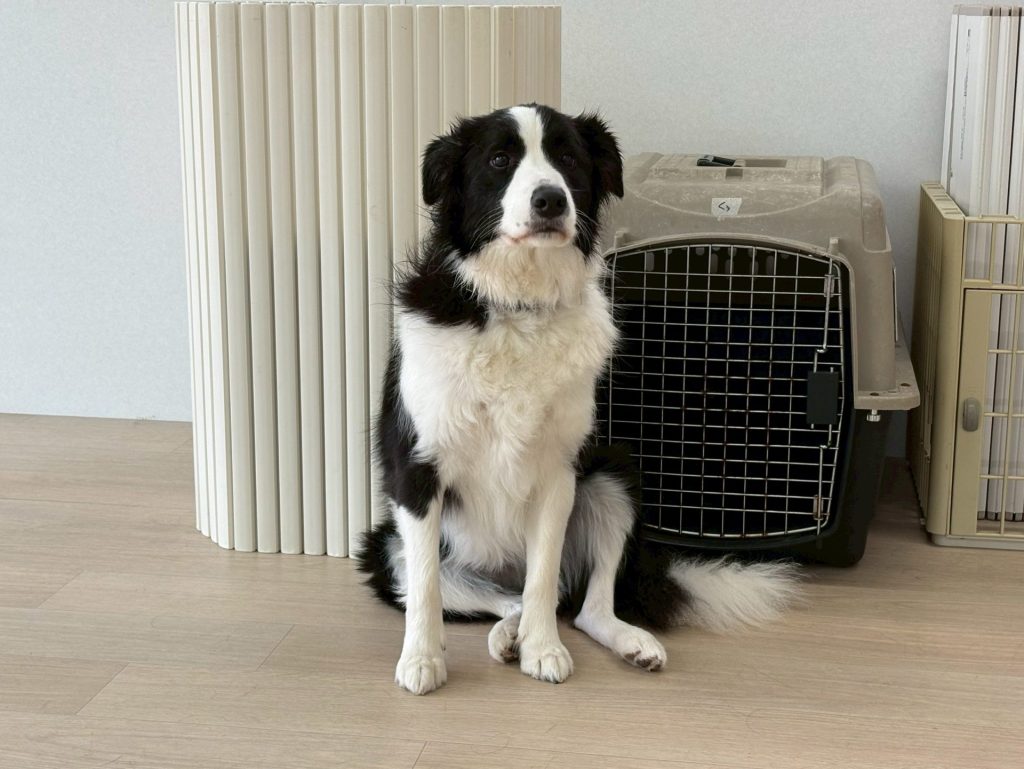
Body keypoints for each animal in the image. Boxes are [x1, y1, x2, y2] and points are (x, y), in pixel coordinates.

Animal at [356, 104, 800, 695]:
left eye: (568, 157)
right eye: (499, 160)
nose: (550, 199)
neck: (518, 304)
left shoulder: (559, 471)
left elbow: (543, 578)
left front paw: (543, 650)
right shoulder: (417, 470)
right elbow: (426, 588)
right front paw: (422, 660)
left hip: (614, 473)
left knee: (577, 603)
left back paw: (615, 641)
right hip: (386, 550)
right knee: (495, 597)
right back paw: (507, 634)